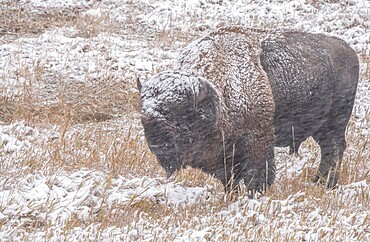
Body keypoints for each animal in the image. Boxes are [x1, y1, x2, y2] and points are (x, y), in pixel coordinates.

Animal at [138, 26, 358, 193]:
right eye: (143, 115)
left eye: (181, 114)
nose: (157, 142)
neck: (218, 95)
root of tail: (349, 51)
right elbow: (229, 179)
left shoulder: (257, 143)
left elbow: (257, 175)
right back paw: (319, 182)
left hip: (334, 123)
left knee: (333, 149)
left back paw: (324, 183)